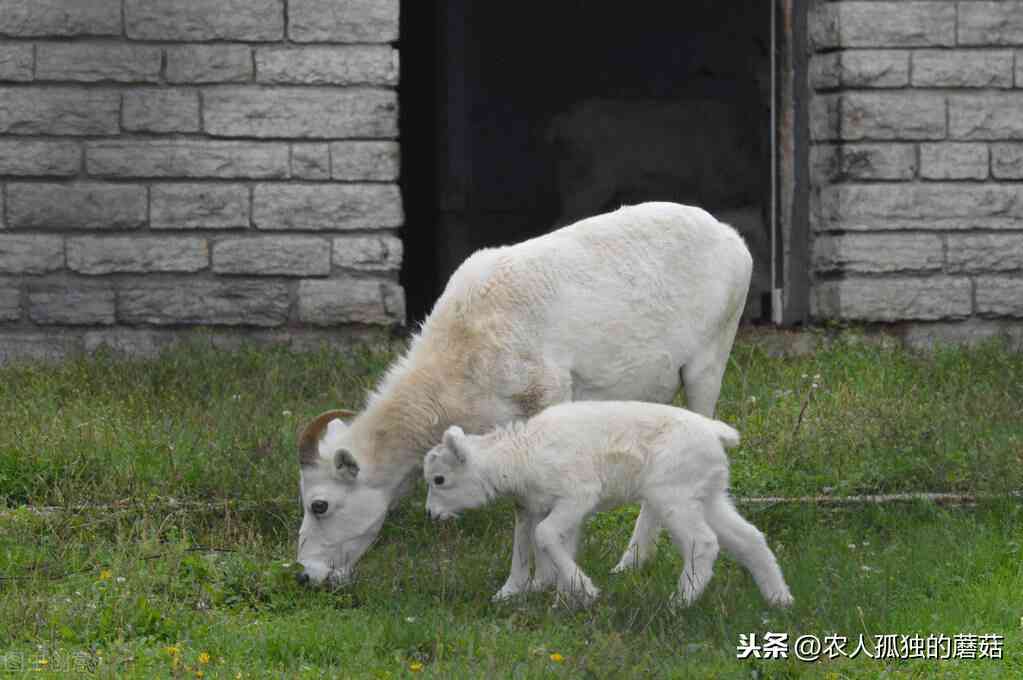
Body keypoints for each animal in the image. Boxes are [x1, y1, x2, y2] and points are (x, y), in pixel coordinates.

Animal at [296, 200, 752, 584]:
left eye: (319, 504)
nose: (305, 574)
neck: (463, 352)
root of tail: (732, 238)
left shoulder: (547, 405)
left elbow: (530, 508)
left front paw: (543, 583)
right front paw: (519, 587)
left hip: (707, 367)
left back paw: (632, 562)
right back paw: (633, 563)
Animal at [421, 400, 789, 605]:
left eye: (439, 480)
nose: (430, 514)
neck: (519, 455)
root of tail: (716, 432)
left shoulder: (577, 496)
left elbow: (543, 536)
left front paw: (584, 590)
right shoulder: (534, 508)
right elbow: (530, 549)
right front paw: (528, 594)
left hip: (675, 496)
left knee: (704, 542)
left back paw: (680, 602)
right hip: (707, 493)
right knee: (749, 538)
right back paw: (779, 599)